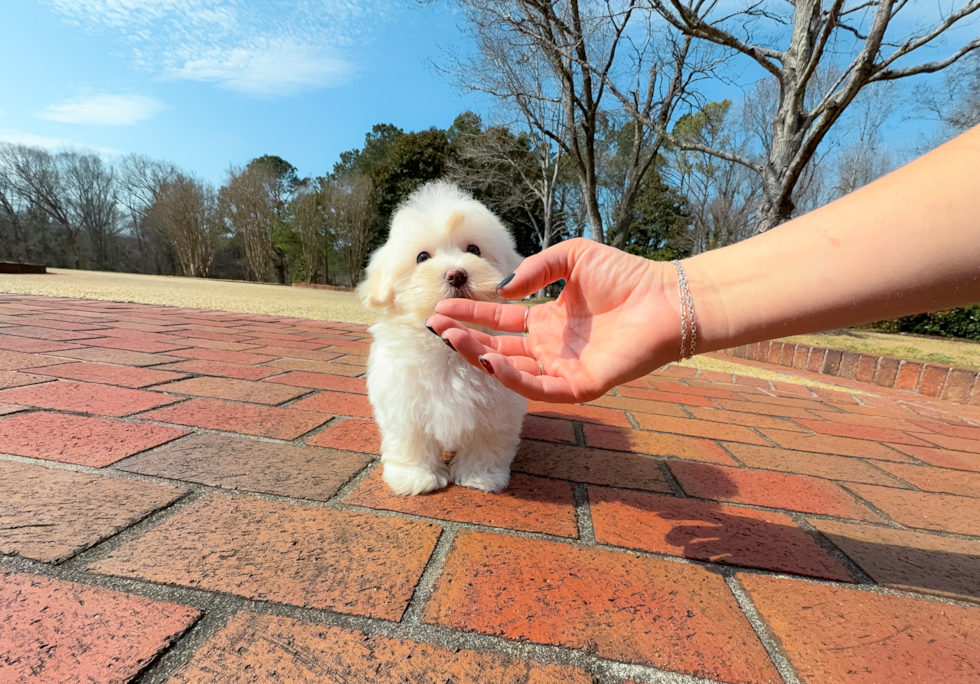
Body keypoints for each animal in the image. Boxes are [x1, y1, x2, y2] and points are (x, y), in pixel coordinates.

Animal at [358, 180, 528, 496]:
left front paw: (480, 477)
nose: (456, 274)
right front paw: (415, 477)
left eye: (474, 249)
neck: (448, 347)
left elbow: (487, 443)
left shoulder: (496, 408)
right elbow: (410, 440)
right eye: (422, 257)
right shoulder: (404, 402)